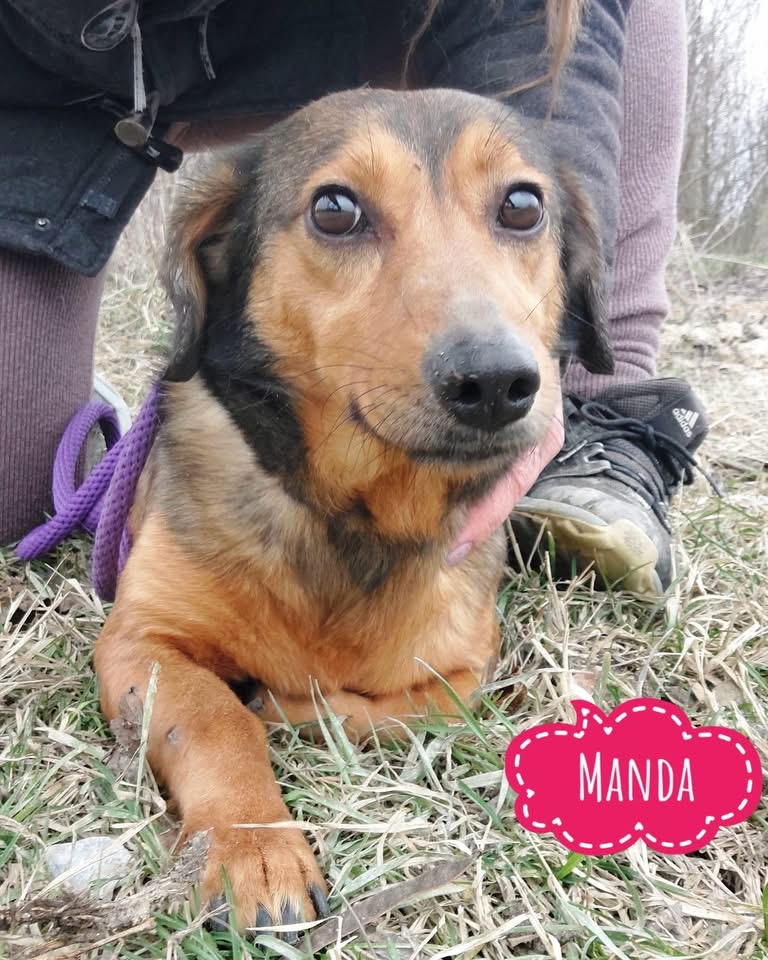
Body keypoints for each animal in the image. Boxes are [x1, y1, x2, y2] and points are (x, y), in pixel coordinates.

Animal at [94, 87, 612, 937]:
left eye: (523, 205)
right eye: (335, 210)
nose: (495, 382)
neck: (354, 517)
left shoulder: (467, 668)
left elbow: (400, 711)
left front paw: (292, 706)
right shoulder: (140, 640)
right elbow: (212, 717)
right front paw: (254, 850)